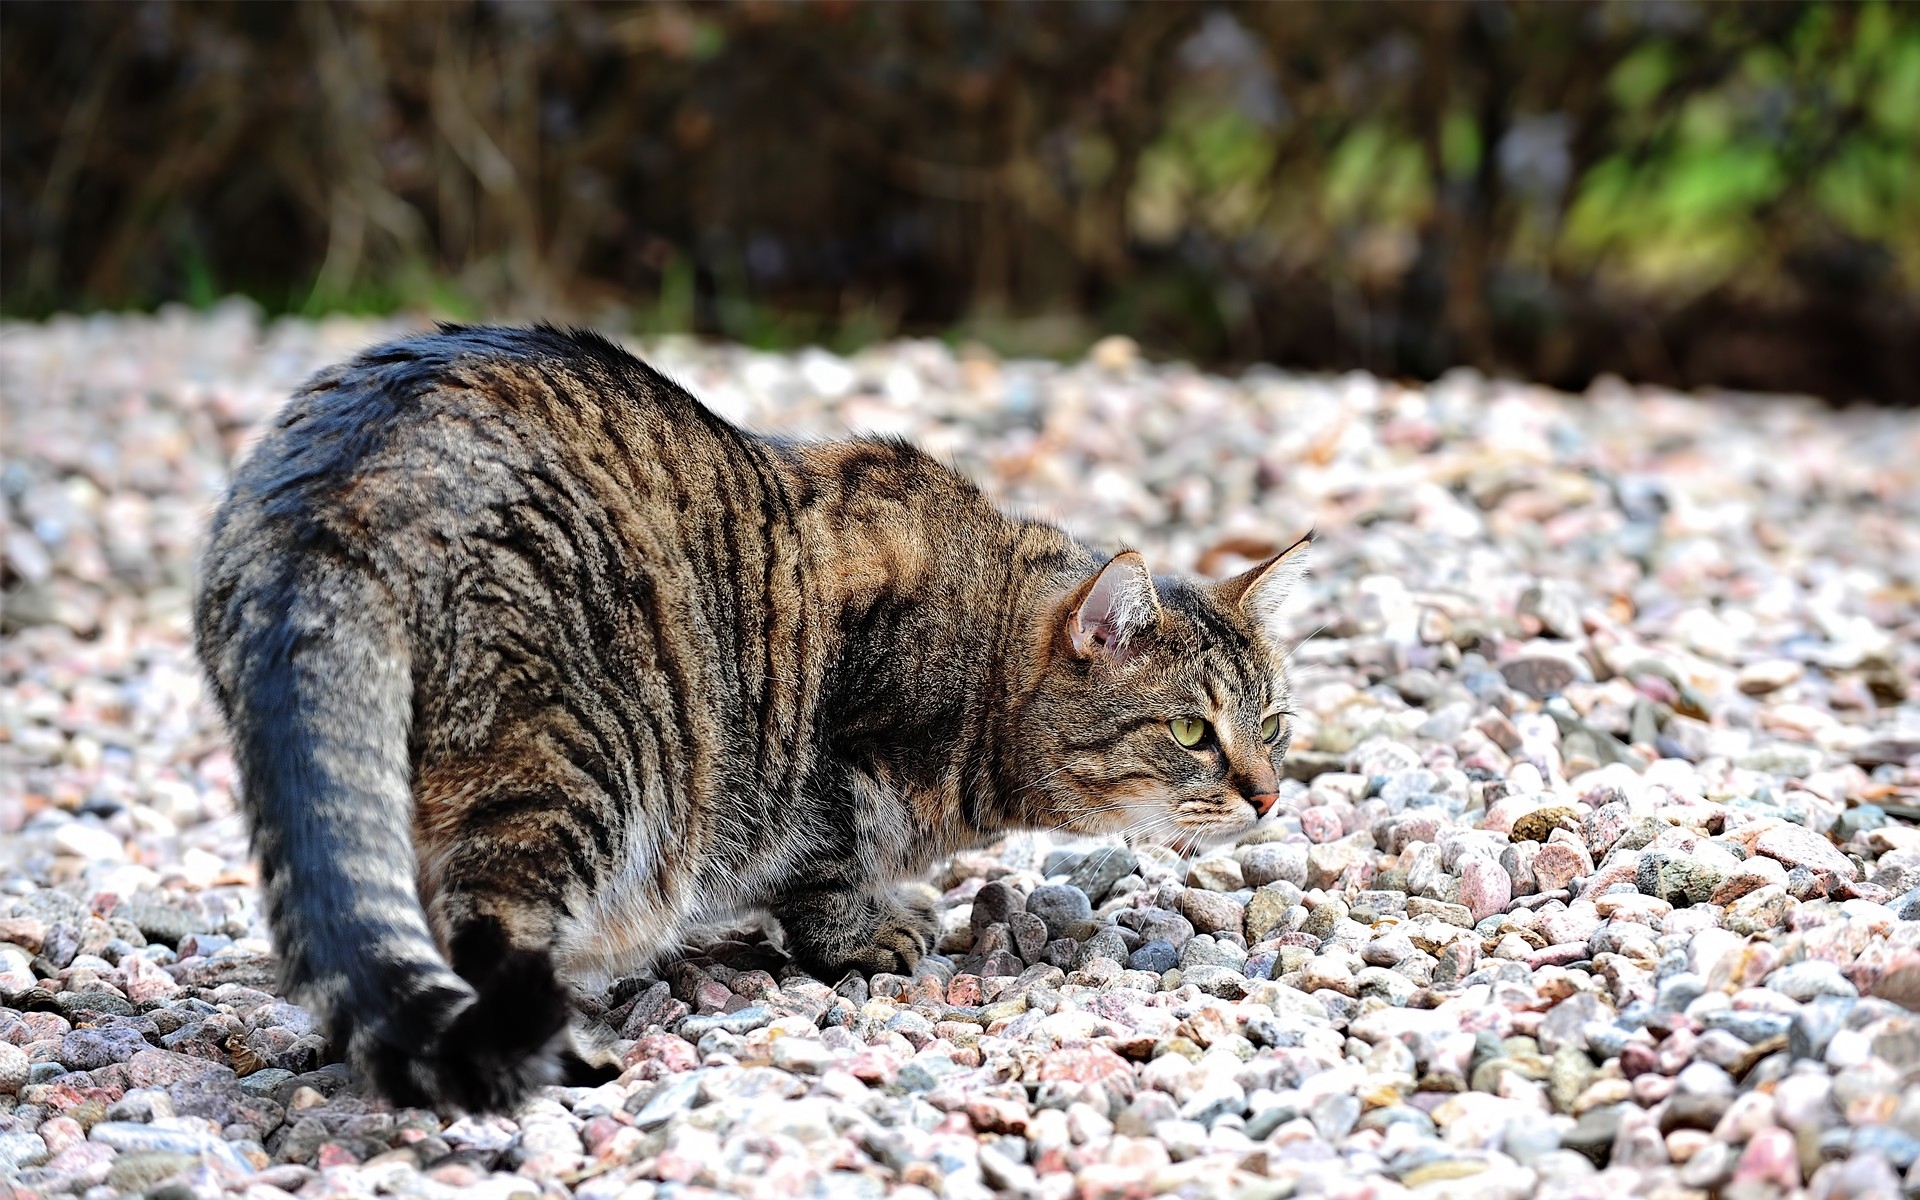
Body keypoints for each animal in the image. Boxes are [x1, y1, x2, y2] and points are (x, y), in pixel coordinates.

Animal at [191, 322, 1305, 1105]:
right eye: (1192, 732)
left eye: (1273, 723)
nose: (1268, 796)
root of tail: (335, 487)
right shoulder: (834, 765)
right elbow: (828, 869)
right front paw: (870, 932)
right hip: (586, 763)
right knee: (492, 924)